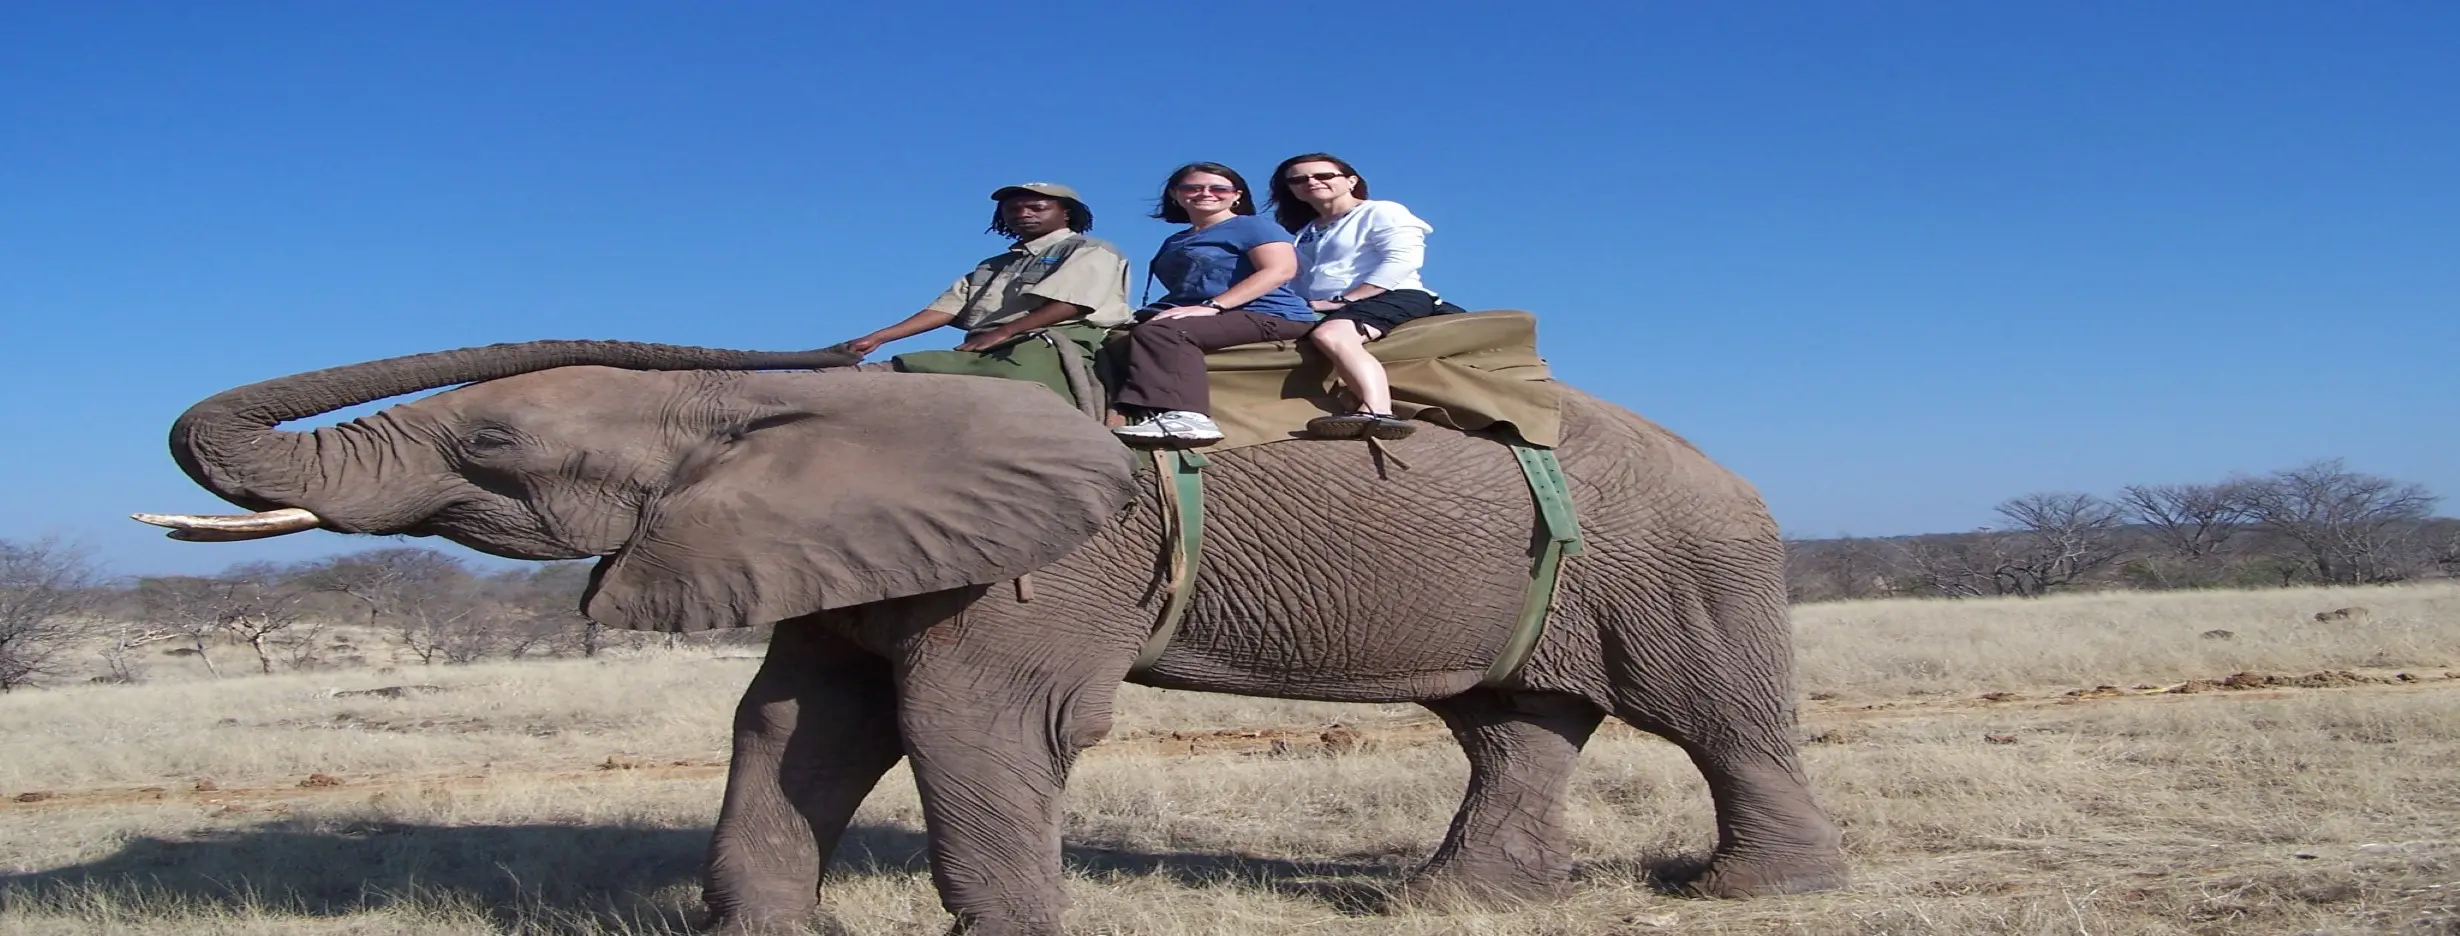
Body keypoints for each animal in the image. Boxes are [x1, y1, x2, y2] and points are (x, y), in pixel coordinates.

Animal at [137, 339, 1847, 935]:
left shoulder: (1057, 559)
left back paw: (1750, 896)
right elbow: (797, 727)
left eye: (489, 451)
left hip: (1687, 559)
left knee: (1714, 717)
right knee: (1507, 727)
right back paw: (1447, 907)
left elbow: (976, 727)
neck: (770, 402)